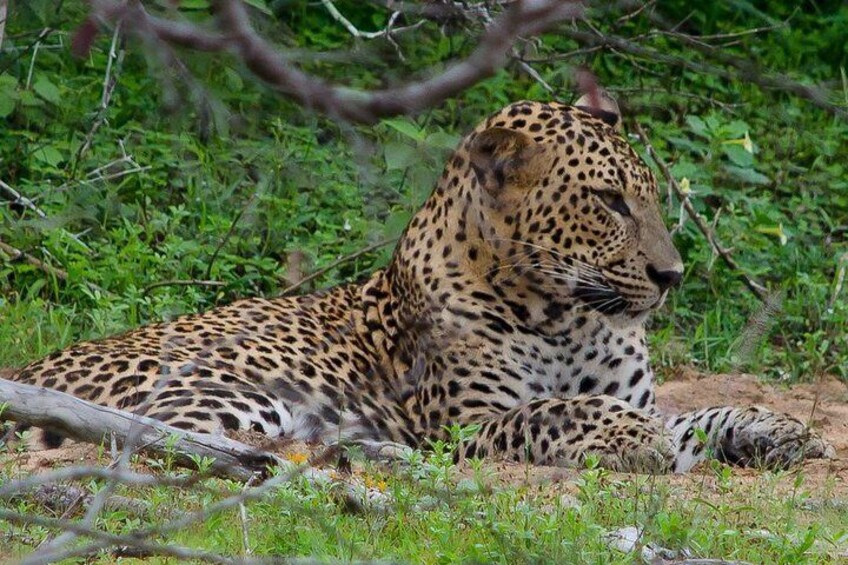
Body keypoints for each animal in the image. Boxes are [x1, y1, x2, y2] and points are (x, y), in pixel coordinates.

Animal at [3, 96, 832, 472]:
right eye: (608, 201)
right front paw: (628, 437)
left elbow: (698, 415)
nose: (672, 275)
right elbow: (553, 410)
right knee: (170, 444)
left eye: (652, 197)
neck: (568, 316)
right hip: (230, 387)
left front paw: (774, 425)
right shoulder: (464, 424)